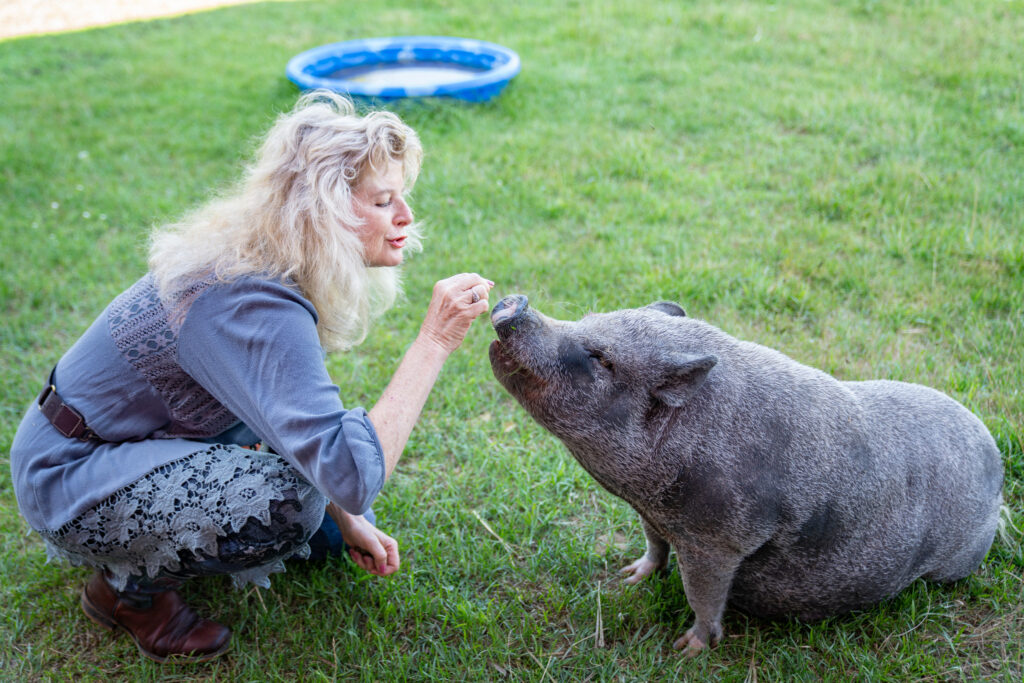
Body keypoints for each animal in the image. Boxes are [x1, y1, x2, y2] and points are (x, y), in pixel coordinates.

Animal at [488, 294, 1004, 656]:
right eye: (587, 318)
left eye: (601, 358)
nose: (515, 303)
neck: (643, 490)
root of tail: (997, 463)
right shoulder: (653, 516)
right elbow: (653, 547)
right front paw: (627, 578)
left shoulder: (721, 538)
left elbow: (703, 595)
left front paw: (688, 650)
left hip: (956, 564)